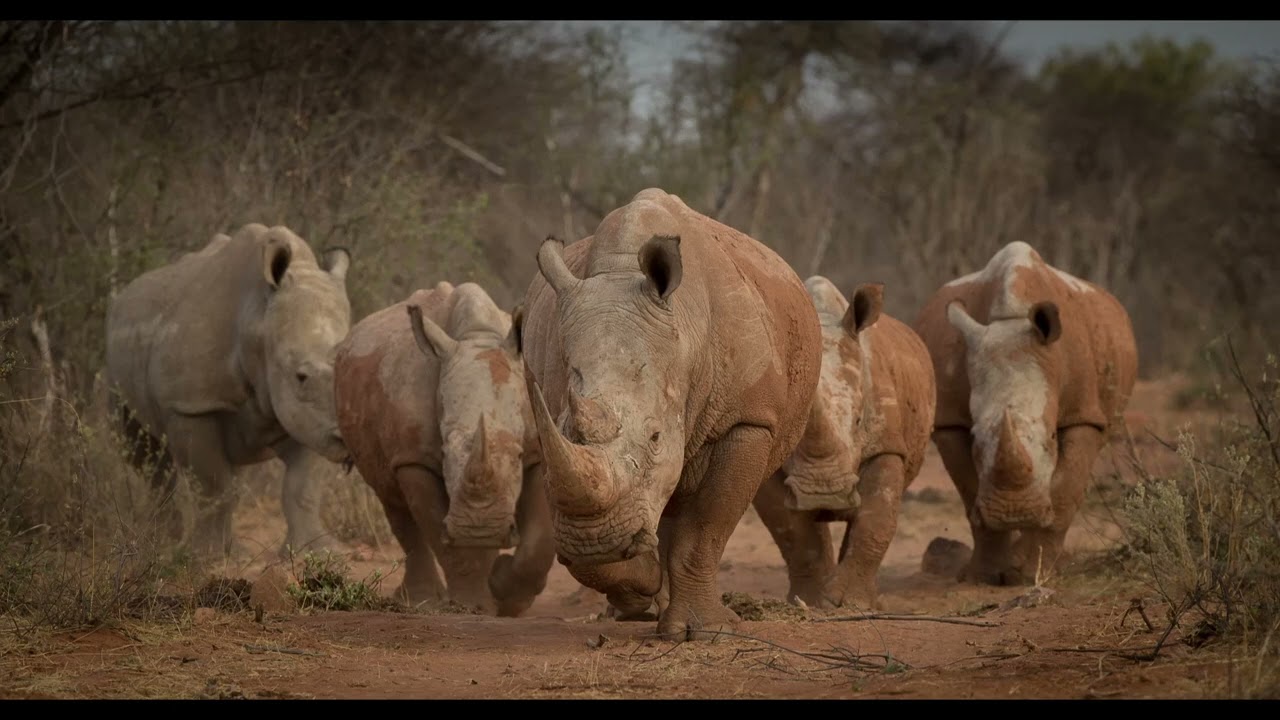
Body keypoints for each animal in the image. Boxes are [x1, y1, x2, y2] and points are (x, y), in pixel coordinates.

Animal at [105, 223, 354, 558]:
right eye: (301, 376)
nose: (349, 437)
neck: (258, 321)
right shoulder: (191, 406)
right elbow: (213, 485)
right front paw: (205, 557)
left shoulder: (309, 418)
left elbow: (302, 487)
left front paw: (318, 552)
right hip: (116, 362)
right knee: (146, 455)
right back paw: (162, 543)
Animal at [332, 281, 554, 616]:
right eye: (445, 453)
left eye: (517, 454)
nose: (478, 529)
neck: (476, 336)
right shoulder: (414, 458)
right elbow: (440, 534)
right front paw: (471, 606)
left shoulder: (538, 447)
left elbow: (539, 540)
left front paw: (506, 597)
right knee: (392, 501)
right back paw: (420, 600)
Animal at [518, 187, 822, 641]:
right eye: (565, 428)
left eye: (656, 437)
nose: (596, 539)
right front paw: (639, 578)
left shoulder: (748, 419)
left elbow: (706, 527)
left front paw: (705, 631)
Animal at [753, 276, 936, 610]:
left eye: (860, 421)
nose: (824, 494)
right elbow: (792, 529)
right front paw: (811, 600)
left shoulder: (886, 445)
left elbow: (877, 516)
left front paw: (851, 604)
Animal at [914, 241, 1138, 585]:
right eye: (976, 437)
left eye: (1051, 437)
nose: (1013, 511)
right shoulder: (949, 421)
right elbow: (970, 491)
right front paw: (985, 575)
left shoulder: (1084, 413)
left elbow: (1065, 489)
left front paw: (1034, 574)